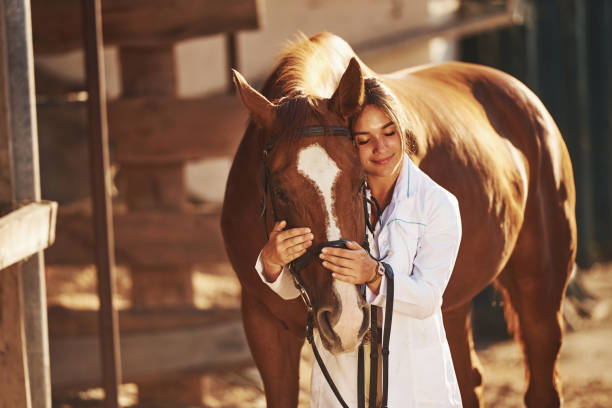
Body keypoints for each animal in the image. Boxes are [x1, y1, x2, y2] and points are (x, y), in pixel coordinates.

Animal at [222, 32, 576, 408]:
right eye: (280, 191)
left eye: (358, 181)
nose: (345, 319)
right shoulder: (264, 324)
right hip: (449, 303)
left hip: (540, 290)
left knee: (541, 380)